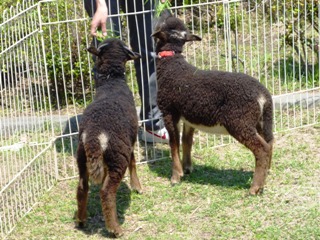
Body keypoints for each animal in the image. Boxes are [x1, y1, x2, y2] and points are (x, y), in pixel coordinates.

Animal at [75, 38, 142, 237]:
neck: (112, 82)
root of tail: (94, 135)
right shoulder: (130, 139)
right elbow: (134, 161)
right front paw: (137, 187)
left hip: (82, 158)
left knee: (82, 187)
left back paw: (81, 220)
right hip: (117, 156)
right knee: (106, 192)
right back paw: (115, 229)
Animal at [151, 11, 274, 195]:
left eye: (163, 22)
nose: (165, 11)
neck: (171, 65)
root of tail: (263, 95)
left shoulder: (169, 111)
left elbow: (174, 144)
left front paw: (176, 176)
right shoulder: (189, 116)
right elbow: (187, 141)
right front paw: (187, 168)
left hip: (240, 122)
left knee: (262, 149)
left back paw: (254, 188)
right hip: (262, 121)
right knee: (270, 143)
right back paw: (265, 176)